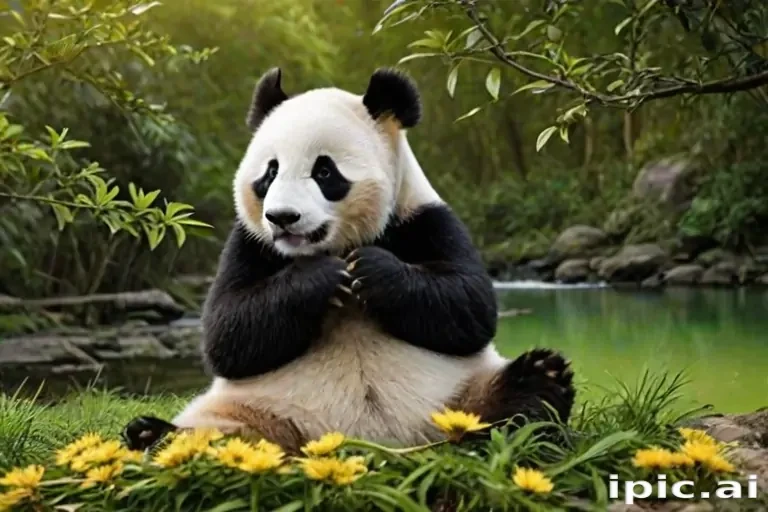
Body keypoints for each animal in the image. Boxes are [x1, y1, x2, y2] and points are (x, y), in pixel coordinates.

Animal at [123, 67, 576, 454]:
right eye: (269, 173)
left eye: (325, 172)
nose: (282, 218)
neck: (331, 245)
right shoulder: (250, 242)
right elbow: (227, 332)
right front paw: (321, 277)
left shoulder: (423, 217)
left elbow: (470, 307)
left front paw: (372, 270)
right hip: (248, 408)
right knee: (212, 431)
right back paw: (152, 434)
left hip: (459, 391)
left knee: (511, 399)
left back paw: (537, 385)